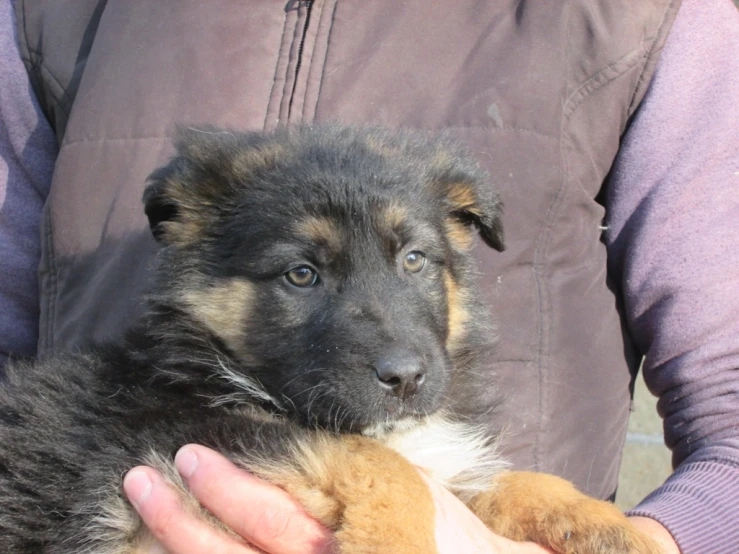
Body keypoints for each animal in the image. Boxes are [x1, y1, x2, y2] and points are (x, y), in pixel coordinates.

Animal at [0, 125, 660, 552]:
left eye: (414, 259)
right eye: (302, 274)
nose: (405, 379)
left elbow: (505, 479)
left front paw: (606, 523)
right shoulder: (174, 441)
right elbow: (379, 463)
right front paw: (392, 541)